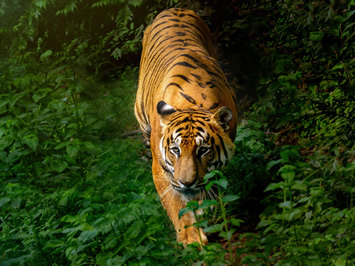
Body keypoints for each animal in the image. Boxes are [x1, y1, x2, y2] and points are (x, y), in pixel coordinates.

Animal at [135, 7, 238, 246]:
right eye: (175, 150)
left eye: (203, 150)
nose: (186, 183)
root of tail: (175, 8)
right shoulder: (161, 167)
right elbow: (175, 203)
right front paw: (192, 238)